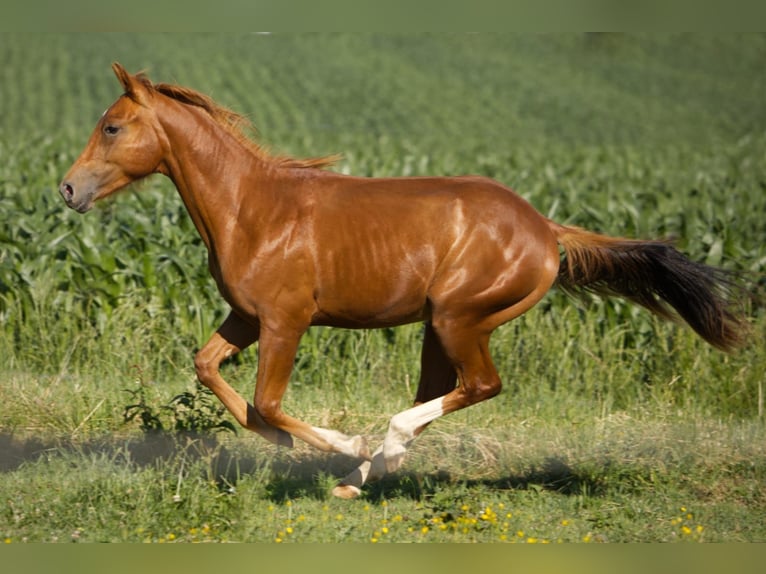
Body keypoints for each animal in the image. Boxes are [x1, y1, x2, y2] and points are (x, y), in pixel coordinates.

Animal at [60, 63, 748, 499]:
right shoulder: (246, 317)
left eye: (112, 126)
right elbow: (209, 370)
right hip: (439, 328)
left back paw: (378, 452)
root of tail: (546, 229)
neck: (252, 209)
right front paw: (282, 444)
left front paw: (345, 441)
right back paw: (359, 479)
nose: (67, 189)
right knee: (443, 390)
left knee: (481, 385)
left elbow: (270, 400)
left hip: (459, 317)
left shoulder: (286, 321)